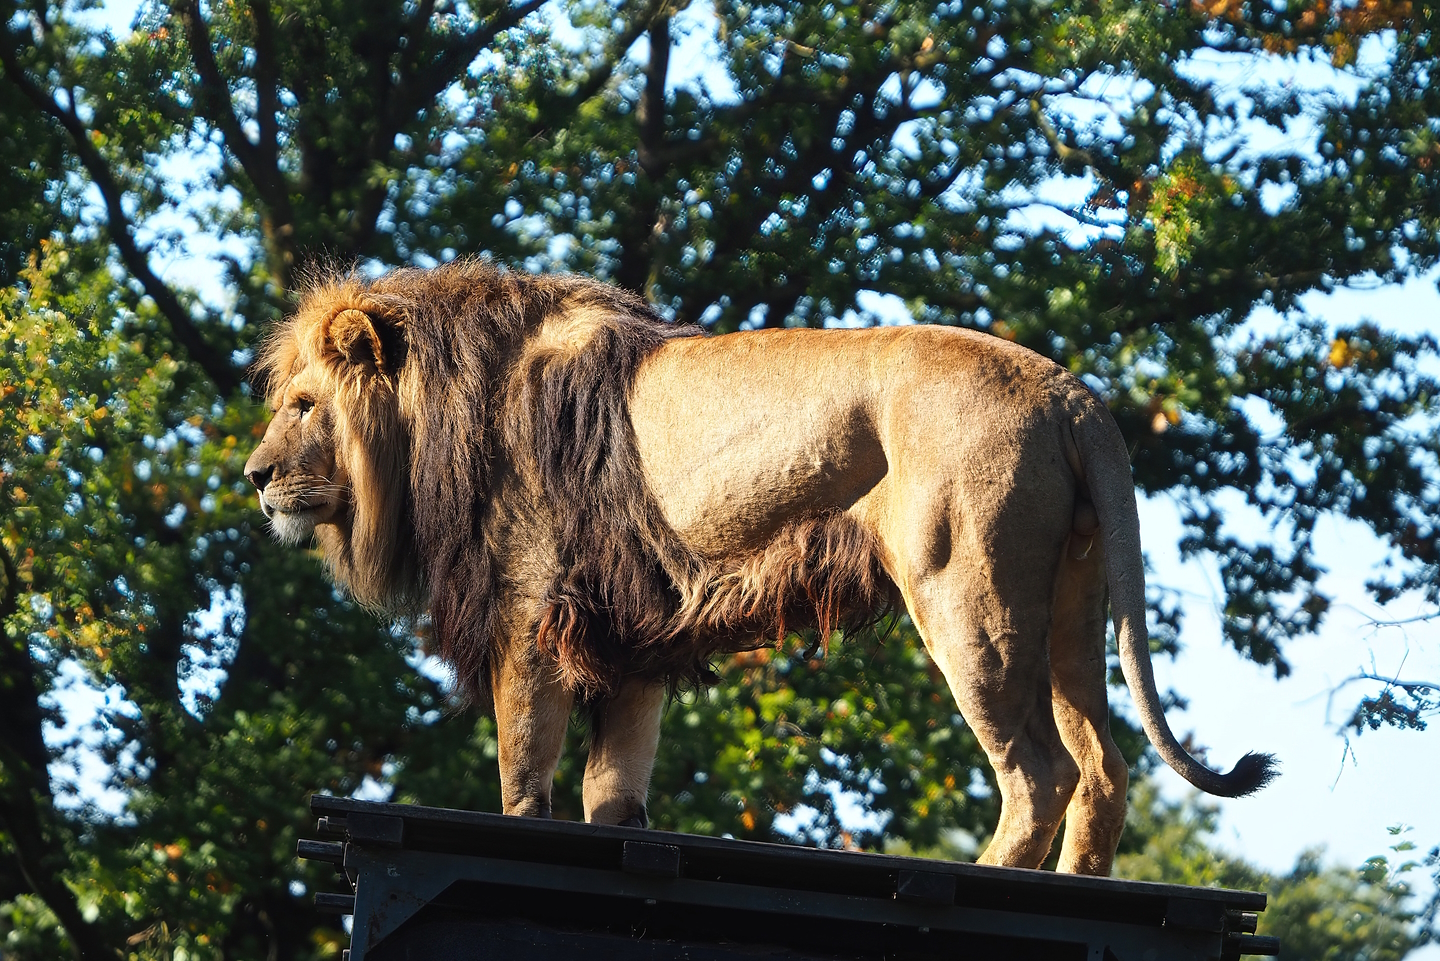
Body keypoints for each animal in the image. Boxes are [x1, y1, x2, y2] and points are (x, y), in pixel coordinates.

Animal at [243, 258, 1275, 876]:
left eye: (302, 405)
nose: (253, 477)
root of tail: (1072, 393)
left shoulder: (530, 615)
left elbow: (523, 777)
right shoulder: (629, 642)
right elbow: (612, 793)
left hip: (969, 595)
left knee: (1041, 771)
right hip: (1070, 599)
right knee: (1105, 767)